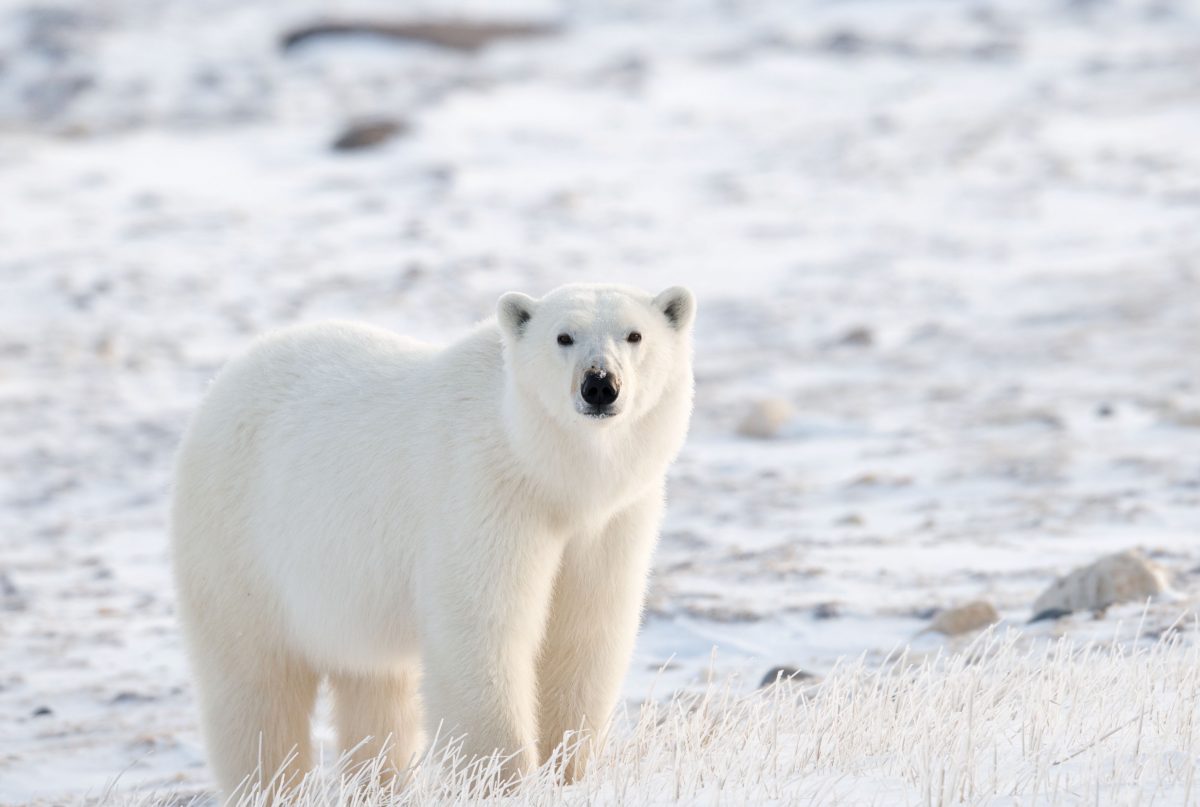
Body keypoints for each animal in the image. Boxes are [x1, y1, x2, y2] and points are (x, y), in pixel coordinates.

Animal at [169, 282, 696, 792]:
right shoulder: (484, 495)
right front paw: (503, 781)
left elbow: (584, 633)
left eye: (634, 335)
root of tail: (224, 381)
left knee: (376, 691)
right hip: (239, 547)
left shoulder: (610, 522)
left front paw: (568, 771)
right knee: (256, 690)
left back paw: (381, 786)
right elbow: (482, 629)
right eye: (563, 336)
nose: (600, 384)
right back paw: (270, 786)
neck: (548, 473)